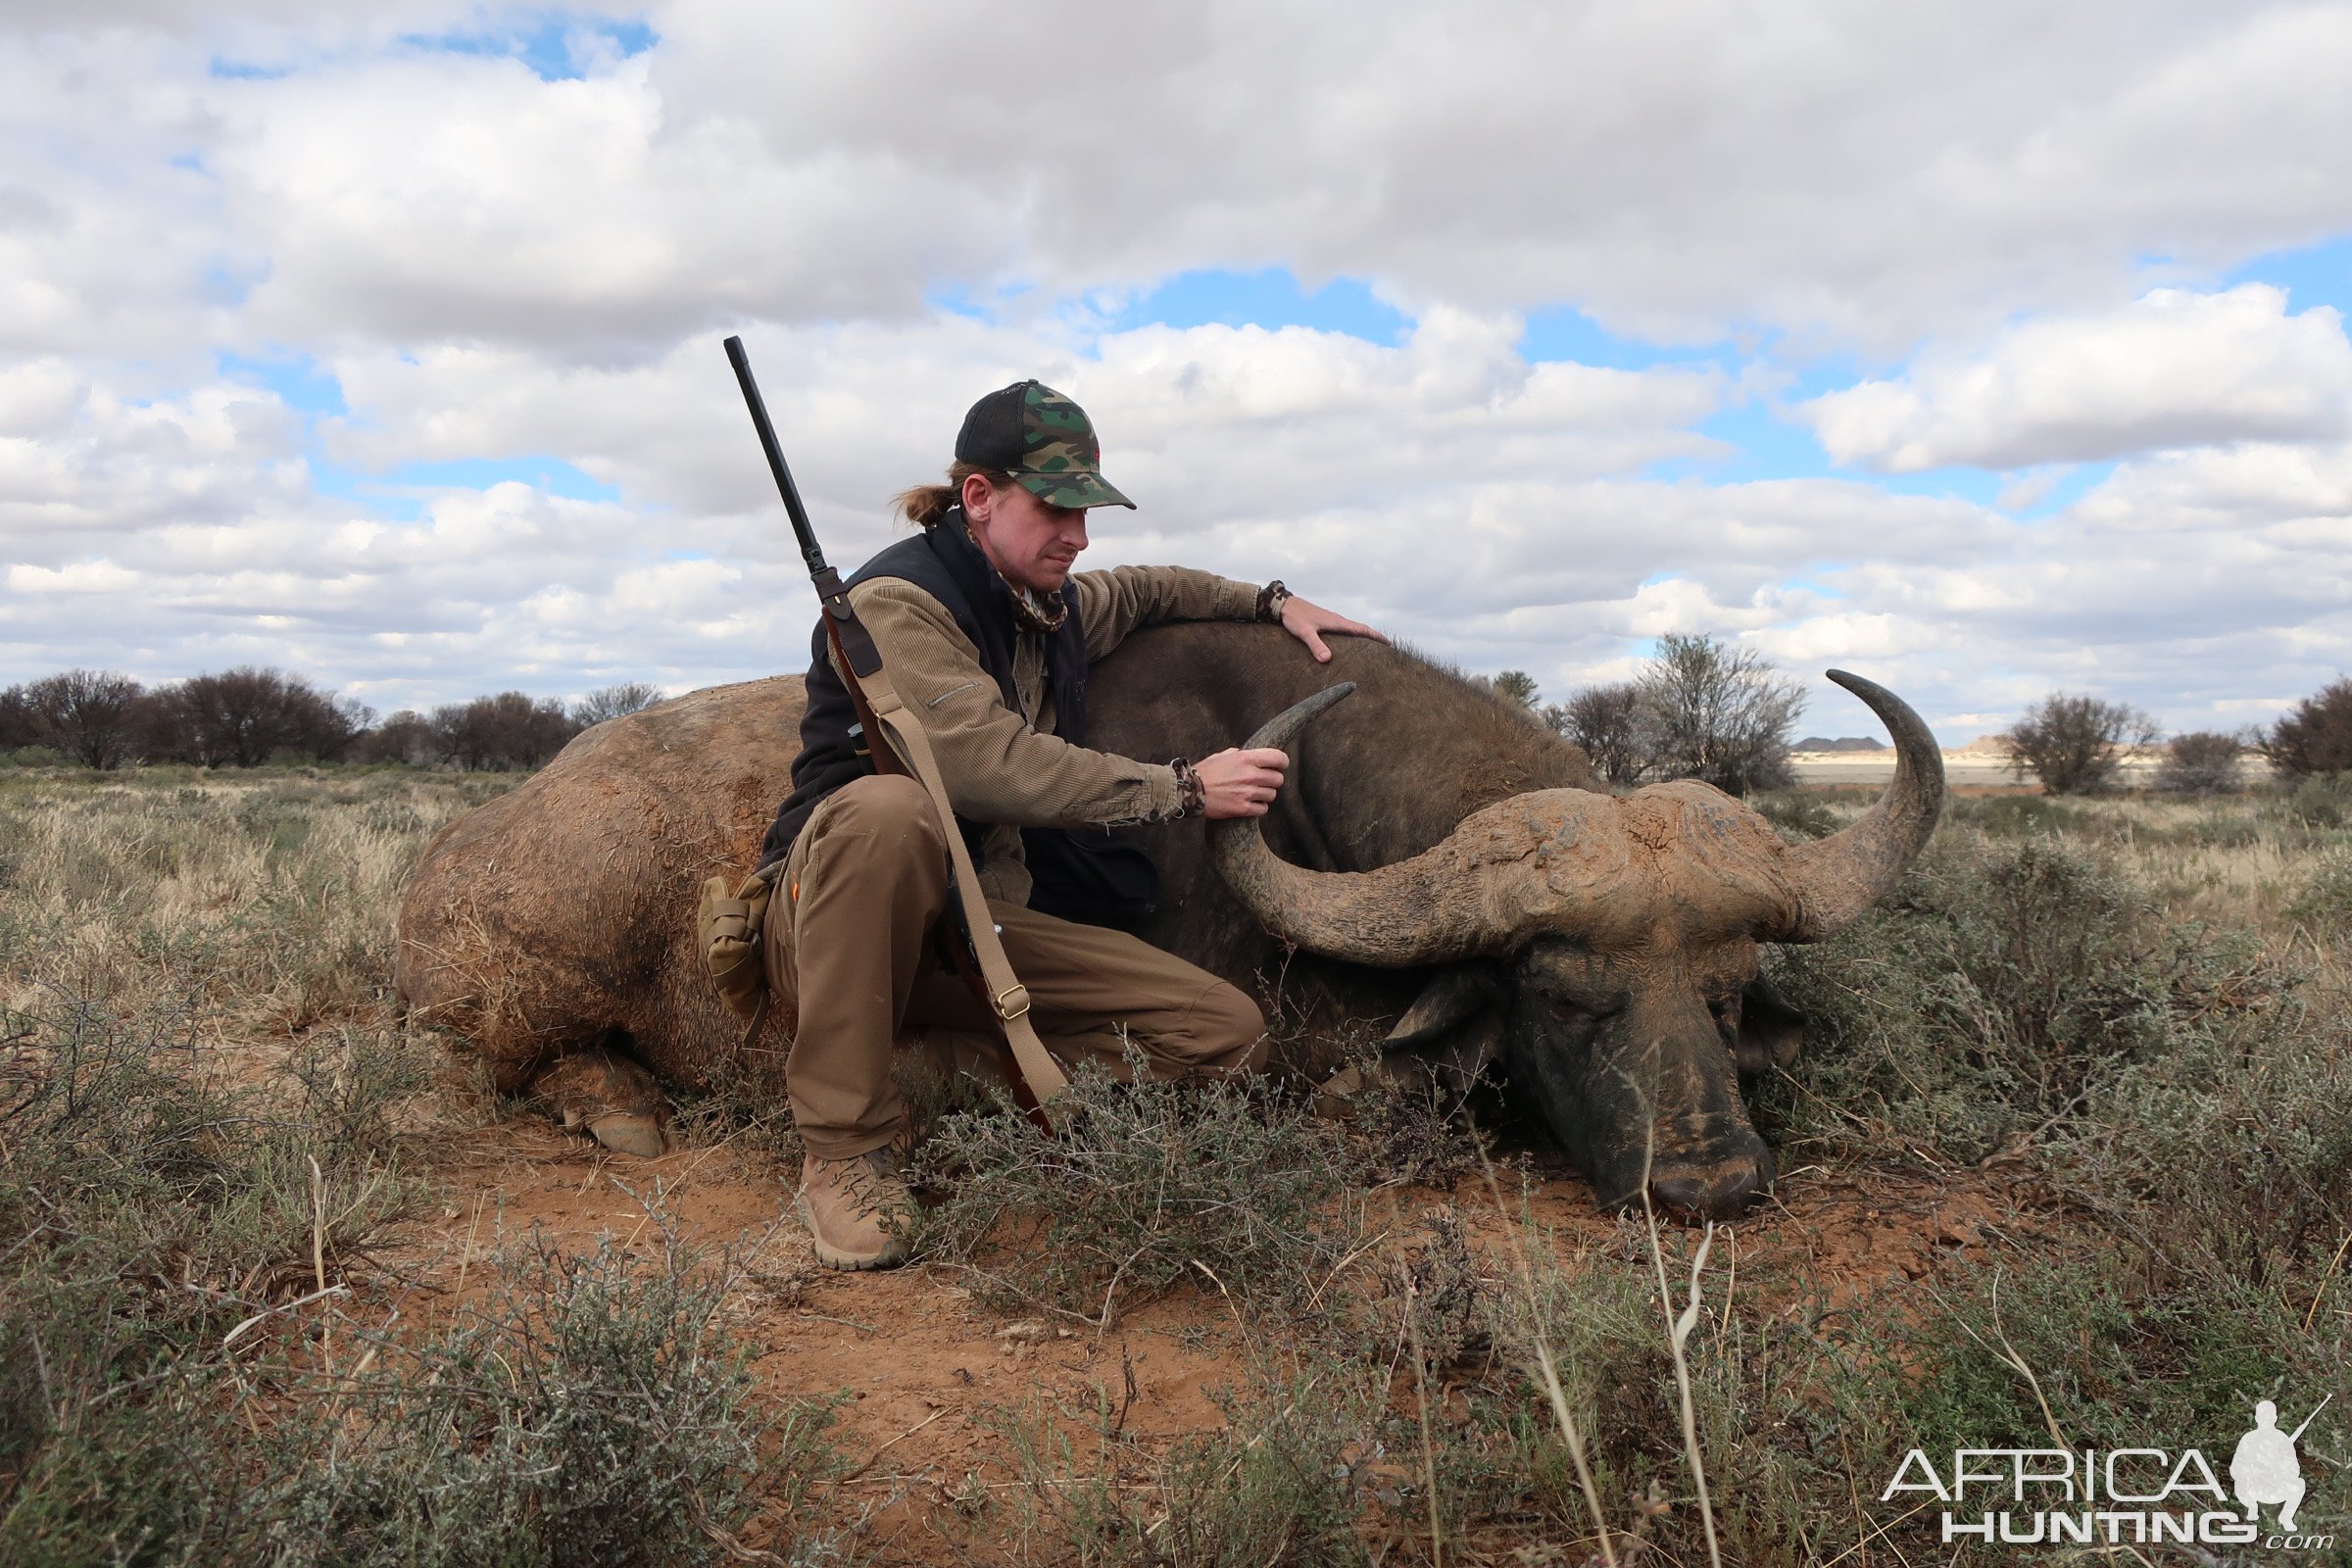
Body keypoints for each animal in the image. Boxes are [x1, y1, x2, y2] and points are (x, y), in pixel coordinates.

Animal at [400, 620, 1947, 1212]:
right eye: (1568, 993)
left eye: (1728, 993)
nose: (1712, 1185)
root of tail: (460, 852)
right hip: (521, 992)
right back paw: (619, 1110)